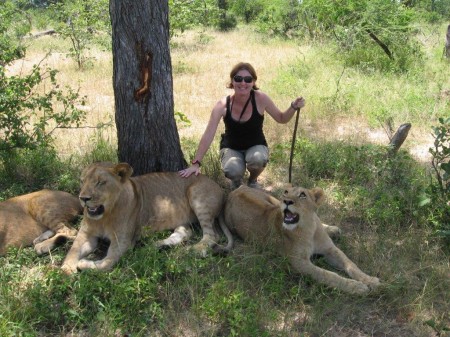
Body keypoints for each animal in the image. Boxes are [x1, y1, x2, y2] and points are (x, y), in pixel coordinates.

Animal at [60, 162, 225, 272]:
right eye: (82, 181)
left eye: (100, 182)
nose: (83, 198)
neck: (105, 216)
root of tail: (218, 185)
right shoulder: (85, 233)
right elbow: (73, 250)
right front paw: (66, 269)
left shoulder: (122, 242)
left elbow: (106, 263)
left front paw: (83, 264)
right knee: (184, 232)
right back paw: (156, 245)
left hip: (197, 195)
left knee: (212, 235)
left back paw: (192, 250)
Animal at [217, 185, 380, 292]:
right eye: (286, 192)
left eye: (302, 195)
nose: (287, 201)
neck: (309, 228)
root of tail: (234, 190)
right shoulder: (299, 263)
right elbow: (328, 275)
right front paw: (356, 287)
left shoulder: (330, 249)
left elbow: (351, 264)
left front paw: (370, 280)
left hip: (273, 200)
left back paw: (333, 230)